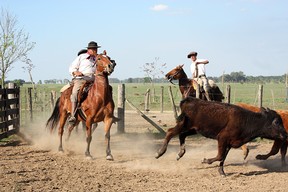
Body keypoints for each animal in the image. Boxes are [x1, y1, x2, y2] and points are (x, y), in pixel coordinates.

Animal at [156, 97, 286, 176]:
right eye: (276, 122)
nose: (285, 135)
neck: (246, 120)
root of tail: (189, 100)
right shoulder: (222, 139)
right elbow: (219, 156)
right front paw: (206, 160)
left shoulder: (229, 143)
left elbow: (223, 157)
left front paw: (221, 172)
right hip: (184, 125)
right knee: (170, 132)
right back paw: (160, 153)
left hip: (193, 129)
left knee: (181, 135)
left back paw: (180, 154)